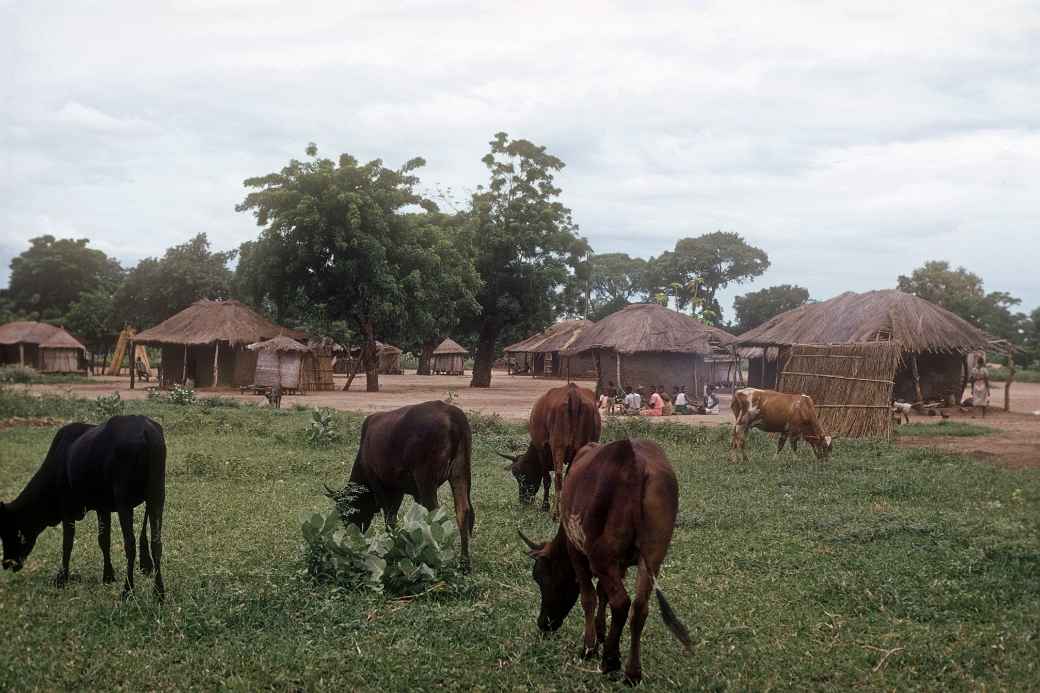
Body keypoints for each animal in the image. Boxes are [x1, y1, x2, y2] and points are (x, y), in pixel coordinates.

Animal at [0, 416, 164, 599]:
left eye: (10, 533)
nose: (6, 563)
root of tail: (145, 429)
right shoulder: (103, 507)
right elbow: (103, 540)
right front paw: (108, 576)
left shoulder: (67, 510)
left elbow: (67, 543)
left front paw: (62, 577)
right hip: (157, 495)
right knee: (156, 542)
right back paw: (158, 591)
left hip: (125, 501)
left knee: (130, 544)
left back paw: (127, 590)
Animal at [322, 399, 476, 566]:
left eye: (346, 513)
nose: (353, 537)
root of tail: (450, 414)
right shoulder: (403, 490)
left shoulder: (378, 483)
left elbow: (390, 518)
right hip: (460, 472)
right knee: (463, 511)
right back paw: (464, 562)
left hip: (426, 479)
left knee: (436, 514)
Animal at [495, 378, 603, 518]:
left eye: (521, 476)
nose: (523, 500)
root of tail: (572, 393)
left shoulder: (542, 449)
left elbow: (546, 480)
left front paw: (545, 506)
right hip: (584, 446)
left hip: (558, 446)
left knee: (557, 478)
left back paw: (556, 514)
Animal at [517, 439, 690, 682]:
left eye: (540, 578)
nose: (544, 623)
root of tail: (632, 462)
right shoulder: (620, 565)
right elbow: (602, 593)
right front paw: (601, 634)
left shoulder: (577, 553)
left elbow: (589, 597)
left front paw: (590, 646)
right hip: (653, 557)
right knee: (639, 607)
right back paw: (632, 672)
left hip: (601, 556)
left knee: (621, 602)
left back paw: (610, 660)